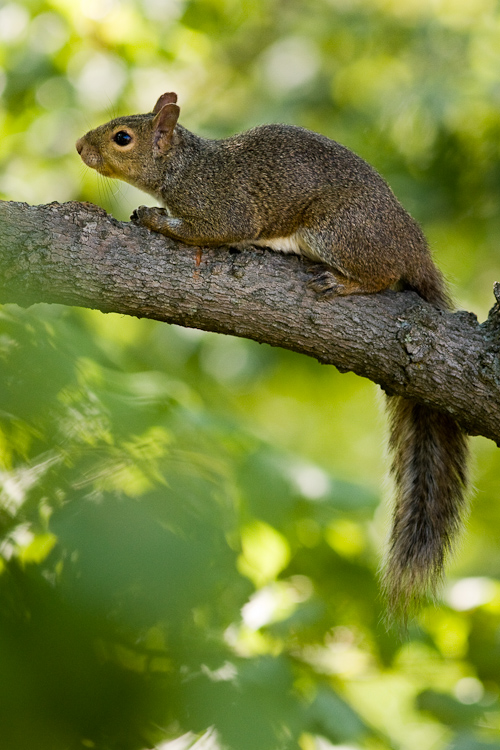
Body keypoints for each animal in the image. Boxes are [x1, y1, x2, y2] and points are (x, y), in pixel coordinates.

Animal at [75, 92, 468, 624]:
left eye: (122, 138)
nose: (79, 147)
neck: (187, 166)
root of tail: (415, 249)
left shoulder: (223, 209)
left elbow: (209, 231)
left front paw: (155, 219)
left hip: (340, 233)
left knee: (384, 275)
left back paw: (343, 281)